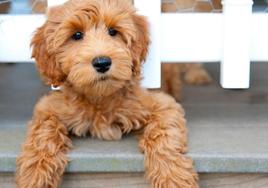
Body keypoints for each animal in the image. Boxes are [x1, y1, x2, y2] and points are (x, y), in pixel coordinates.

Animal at [15, 0, 198, 187]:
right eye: (77, 35)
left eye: (113, 31)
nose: (102, 62)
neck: (100, 97)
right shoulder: (49, 107)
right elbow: (43, 132)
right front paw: (35, 174)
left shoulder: (162, 105)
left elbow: (163, 135)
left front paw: (172, 177)